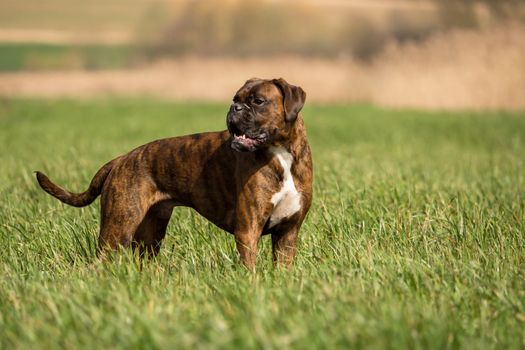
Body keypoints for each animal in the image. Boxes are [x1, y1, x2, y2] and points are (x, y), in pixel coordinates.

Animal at [37, 78, 316, 270]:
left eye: (258, 101)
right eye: (235, 98)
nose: (234, 108)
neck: (281, 153)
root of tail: (122, 159)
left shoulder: (287, 233)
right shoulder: (248, 230)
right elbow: (250, 269)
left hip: (150, 233)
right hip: (117, 229)